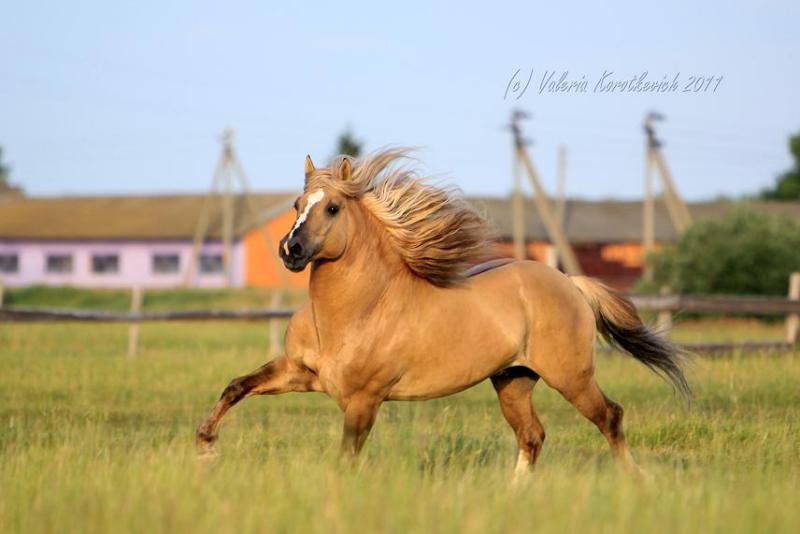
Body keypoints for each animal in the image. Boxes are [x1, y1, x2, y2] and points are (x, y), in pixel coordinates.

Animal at [197, 149, 692, 480]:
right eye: (298, 206)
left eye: (332, 207)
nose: (291, 250)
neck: (355, 311)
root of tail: (568, 282)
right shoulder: (298, 372)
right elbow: (235, 387)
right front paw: (205, 449)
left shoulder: (364, 400)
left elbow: (346, 457)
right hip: (513, 380)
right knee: (531, 436)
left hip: (570, 376)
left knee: (610, 417)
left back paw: (635, 482)